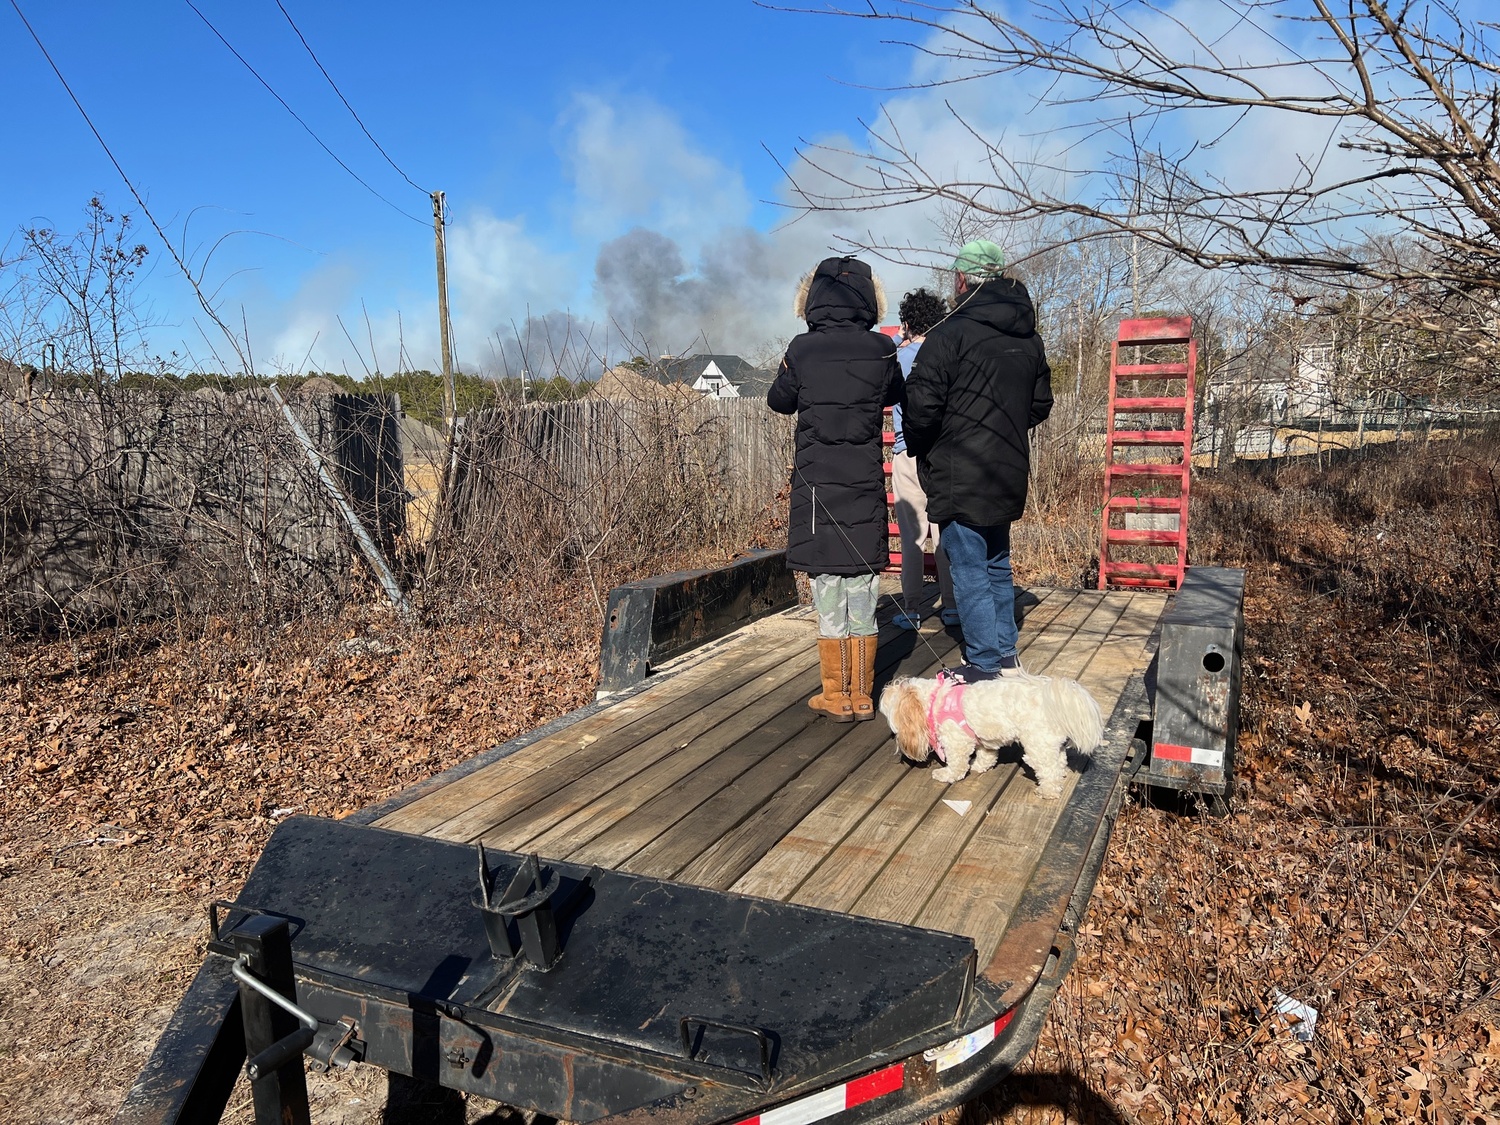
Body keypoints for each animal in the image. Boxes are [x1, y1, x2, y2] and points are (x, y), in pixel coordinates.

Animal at [876, 675, 1104, 798]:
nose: (884, 687)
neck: (935, 701)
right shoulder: (982, 739)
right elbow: (986, 754)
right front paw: (979, 766)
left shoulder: (956, 741)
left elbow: (957, 764)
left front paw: (946, 774)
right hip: (1049, 742)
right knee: (1059, 760)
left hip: (1037, 745)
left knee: (1049, 769)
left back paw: (1047, 791)